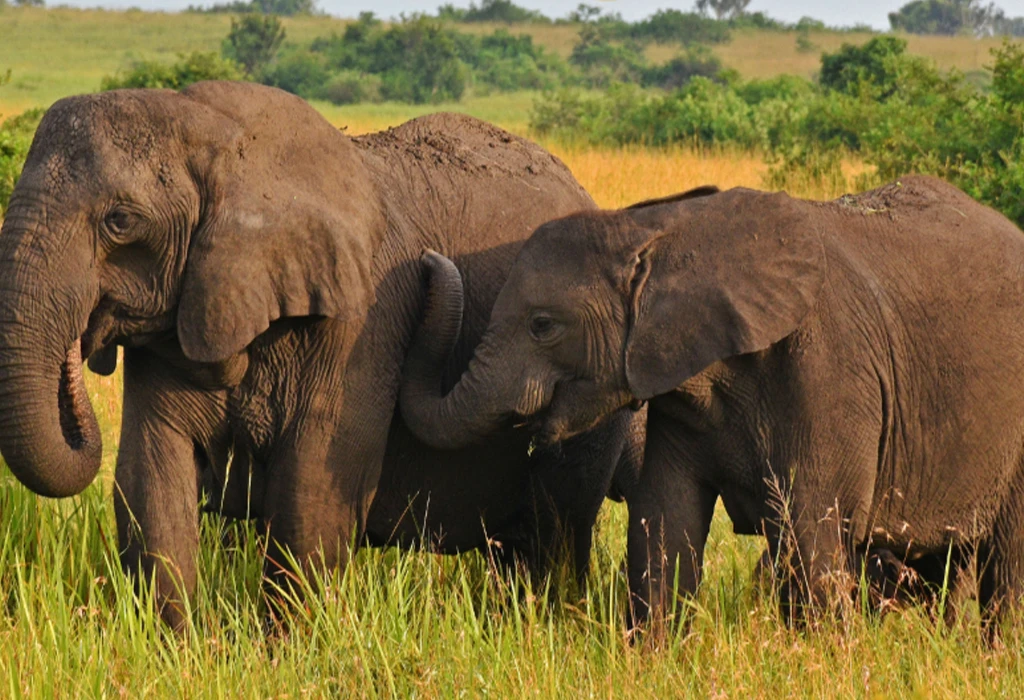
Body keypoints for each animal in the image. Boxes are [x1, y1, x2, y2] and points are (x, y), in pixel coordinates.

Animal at [0, 81, 640, 629]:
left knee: (554, 531)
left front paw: (279, 652)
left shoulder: (364, 318)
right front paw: (179, 648)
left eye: (120, 221)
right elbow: (150, 477)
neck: (216, 134)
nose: (82, 346)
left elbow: (314, 493)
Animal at [399, 175, 1024, 634]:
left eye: (542, 325)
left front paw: (826, 663)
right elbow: (664, 522)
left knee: (1008, 563)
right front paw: (651, 663)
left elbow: (812, 533)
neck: (662, 232)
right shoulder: (680, 385)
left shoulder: (834, 372)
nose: (427, 260)